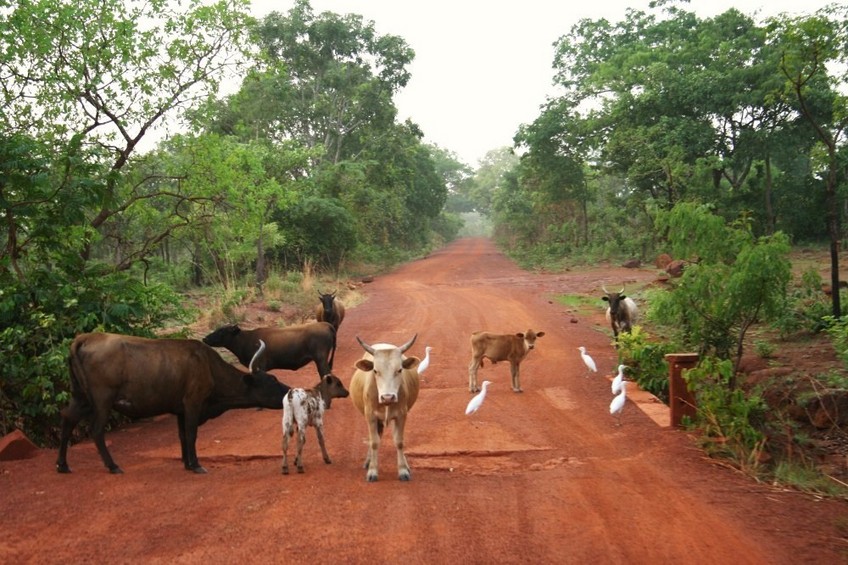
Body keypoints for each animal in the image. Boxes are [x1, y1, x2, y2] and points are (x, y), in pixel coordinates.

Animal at [57, 332, 288, 474]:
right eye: (272, 380)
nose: (289, 391)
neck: (209, 366)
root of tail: (85, 338)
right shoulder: (193, 403)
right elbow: (191, 434)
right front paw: (196, 465)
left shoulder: (180, 410)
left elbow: (182, 435)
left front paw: (186, 463)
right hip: (103, 400)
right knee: (96, 430)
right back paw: (112, 466)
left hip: (81, 397)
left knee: (67, 420)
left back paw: (63, 465)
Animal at [204, 322, 336, 384]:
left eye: (222, 331)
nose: (205, 338)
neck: (247, 340)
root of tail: (325, 324)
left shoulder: (259, 365)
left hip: (321, 359)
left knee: (325, 373)